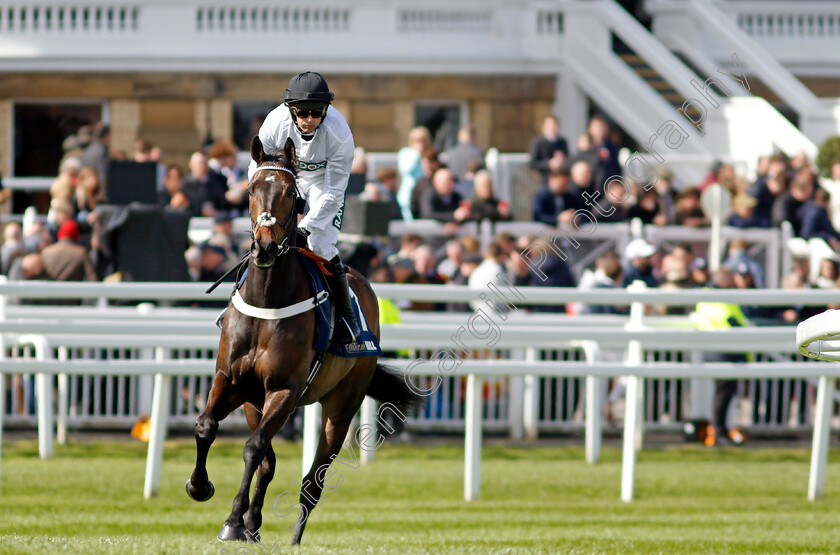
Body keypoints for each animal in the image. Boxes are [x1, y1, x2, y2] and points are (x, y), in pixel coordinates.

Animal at [184, 136, 420, 548]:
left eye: (292, 194)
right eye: (251, 189)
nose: (263, 247)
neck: (267, 301)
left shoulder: (285, 389)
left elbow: (253, 448)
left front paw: (232, 521)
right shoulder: (232, 381)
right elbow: (207, 427)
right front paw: (202, 488)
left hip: (342, 404)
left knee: (313, 479)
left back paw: (292, 538)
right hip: (255, 403)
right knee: (269, 462)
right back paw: (254, 524)